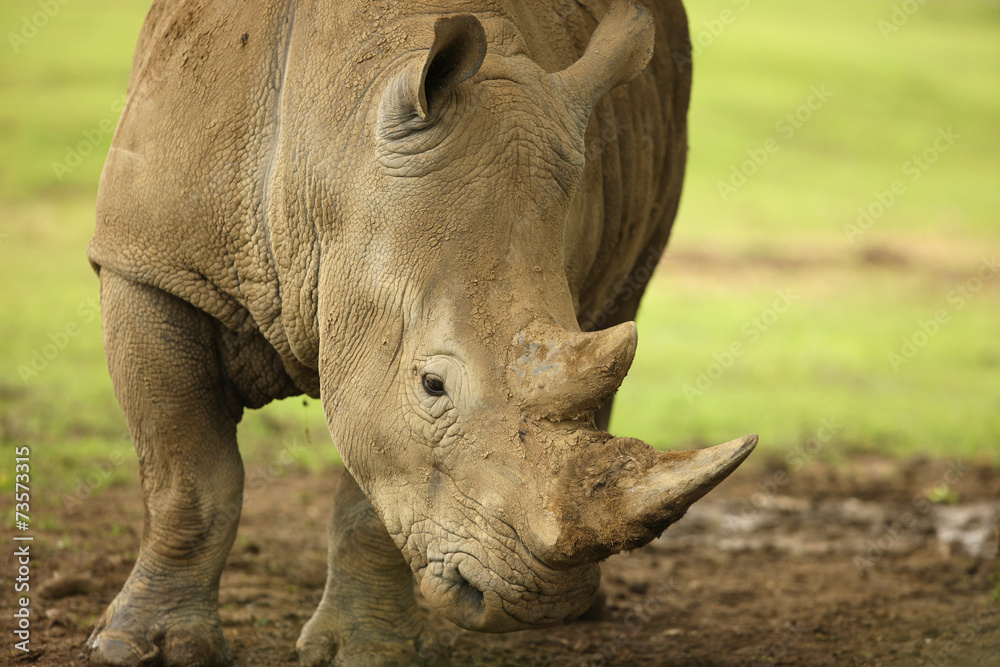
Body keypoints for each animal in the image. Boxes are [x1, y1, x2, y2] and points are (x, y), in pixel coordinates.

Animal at [86, 0, 756, 664]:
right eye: (433, 385)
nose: (542, 602)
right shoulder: (149, 265)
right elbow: (188, 478)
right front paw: (145, 648)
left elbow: (374, 493)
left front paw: (368, 651)